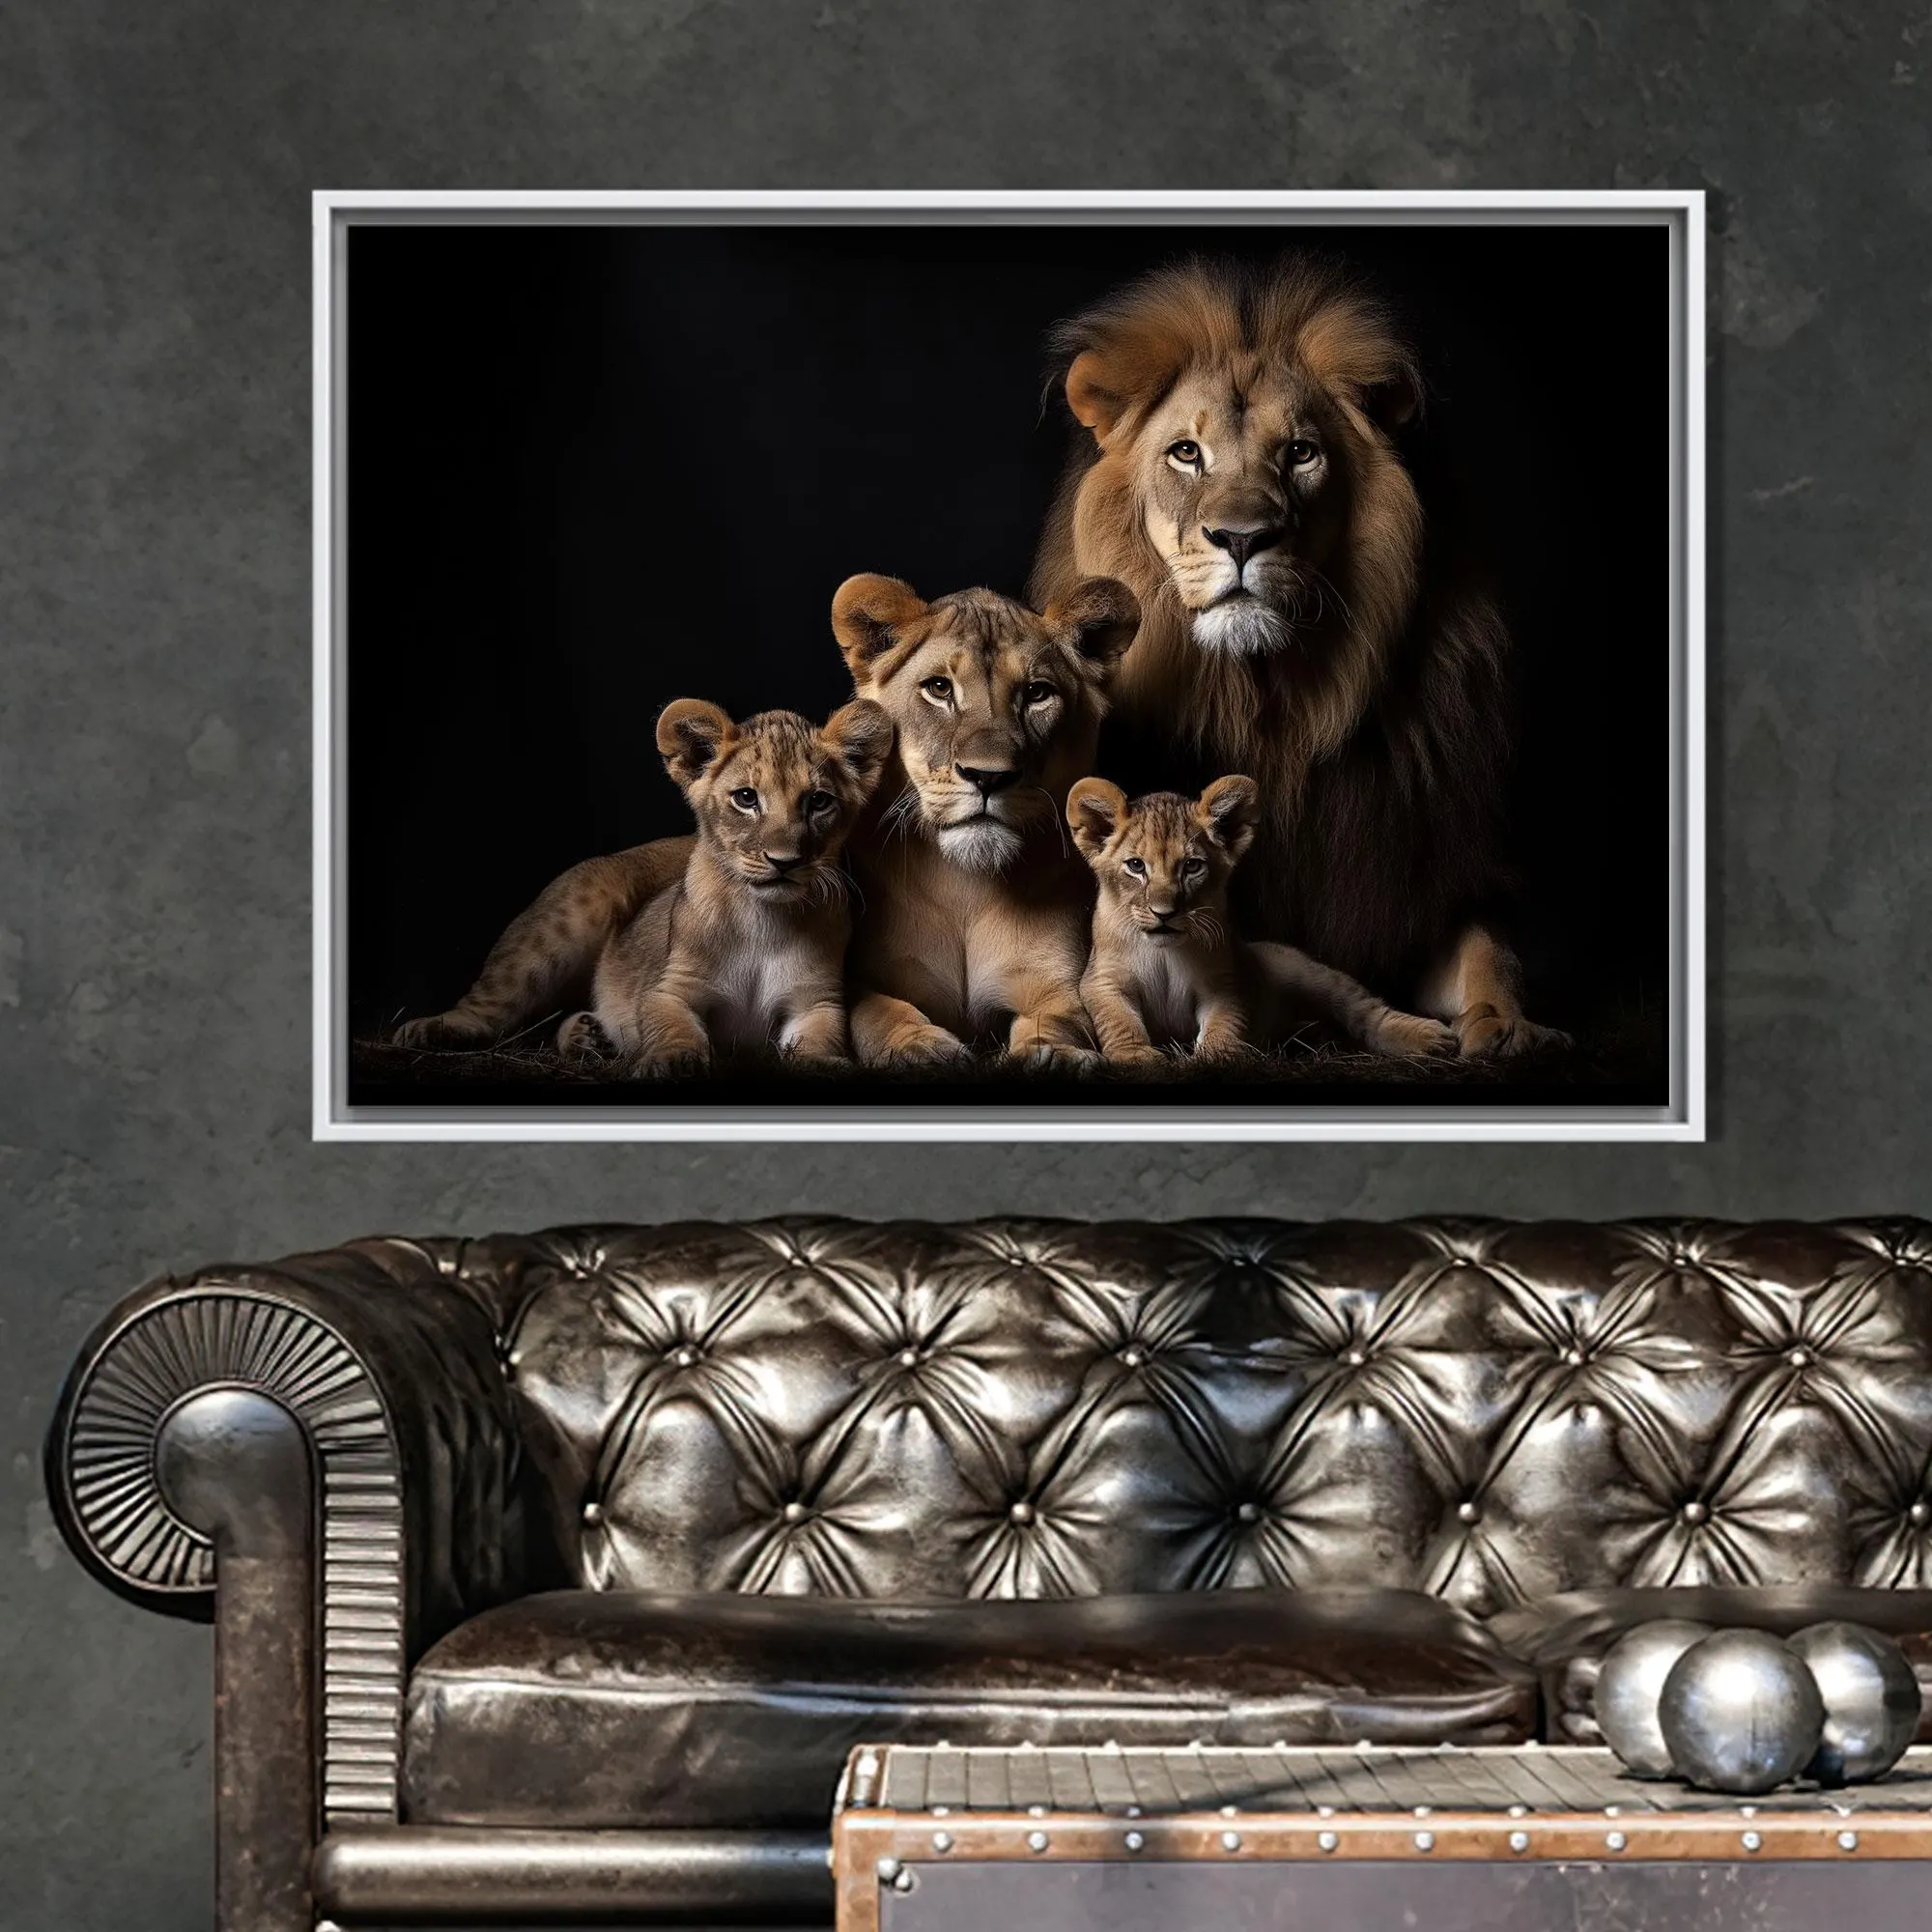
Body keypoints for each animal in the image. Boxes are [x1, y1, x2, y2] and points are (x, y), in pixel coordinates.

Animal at [395, 697, 890, 1070]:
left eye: (818, 802)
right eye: (747, 798)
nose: (784, 862)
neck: (764, 920)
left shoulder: (816, 1002)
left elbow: (821, 1039)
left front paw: (825, 1065)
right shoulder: (669, 989)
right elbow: (672, 1026)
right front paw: (672, 1062)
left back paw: (589, 1036)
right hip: (570, 915)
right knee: (492, 1003)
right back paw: (430, 1028)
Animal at [829, 571, 1140, 1068]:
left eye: (1036, 693)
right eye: (939, 689)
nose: (988, 777)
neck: (966, 891)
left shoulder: (1056, 985)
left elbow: (1060, 1020)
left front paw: (1051, 1055)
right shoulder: (863, 978)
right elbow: (877, 1013)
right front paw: (918, 1047)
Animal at [1067, 775, 1456, 1066]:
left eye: (1192, 867)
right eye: (1136, 866)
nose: (1165, 913)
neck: (1166, 952)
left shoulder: (1226, 980)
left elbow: (1226, 1019)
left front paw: (1218, 1055)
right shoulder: (1102, 980)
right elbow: (1117, 1019)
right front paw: (1134, 1055)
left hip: (1311, 973)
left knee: (1365, 1010)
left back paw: (1429, 1038)